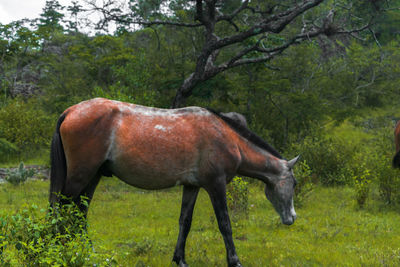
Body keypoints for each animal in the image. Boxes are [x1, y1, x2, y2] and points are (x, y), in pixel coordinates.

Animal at [50, 98, 298, 267]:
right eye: (294, 184)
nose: (292, 218)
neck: (227, 138)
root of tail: (70, 111)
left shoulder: (192, 186)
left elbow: (184, 222)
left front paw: (180, 259)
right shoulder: (216, 185)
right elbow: (225, 223)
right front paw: (234, 260)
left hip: (93, 177)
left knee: (79, 212)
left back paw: (87, 253)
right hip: (80, 176)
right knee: (62, 211)